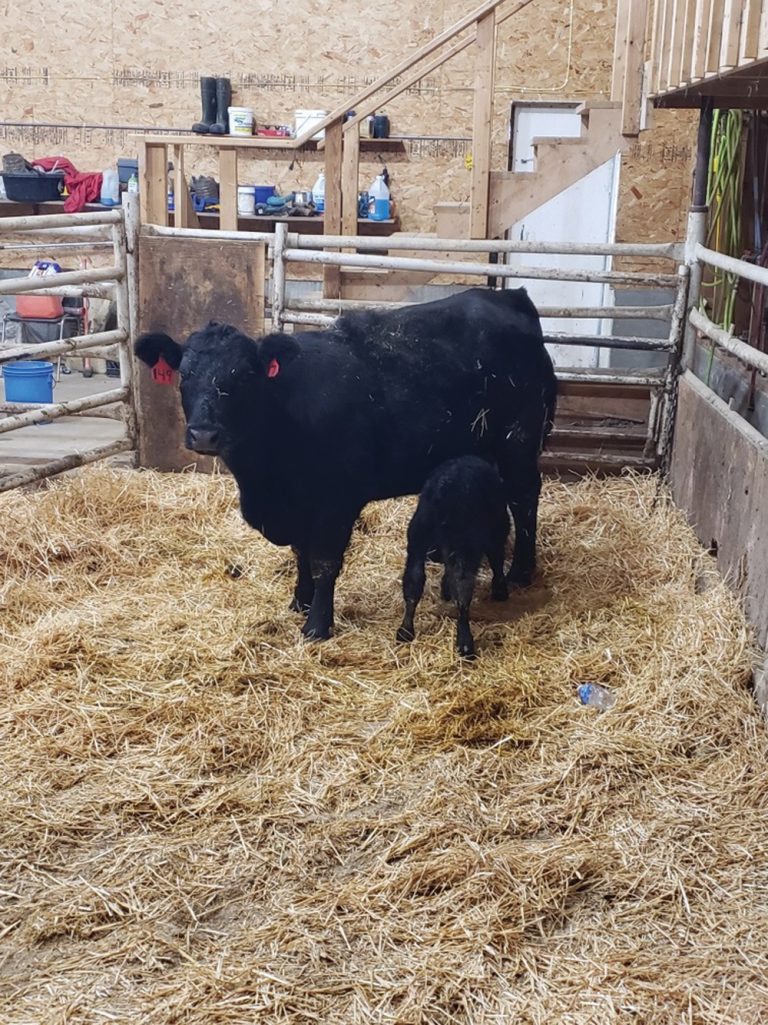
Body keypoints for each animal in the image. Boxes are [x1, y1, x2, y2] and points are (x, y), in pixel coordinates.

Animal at [396, 455, 511, 659]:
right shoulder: (496, 531)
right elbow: (496, 560)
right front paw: (500, 590)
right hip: (465, 543)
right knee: (463, 588)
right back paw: (465, 644)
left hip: (419, 536)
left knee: (413, 580)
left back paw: (405, 630)